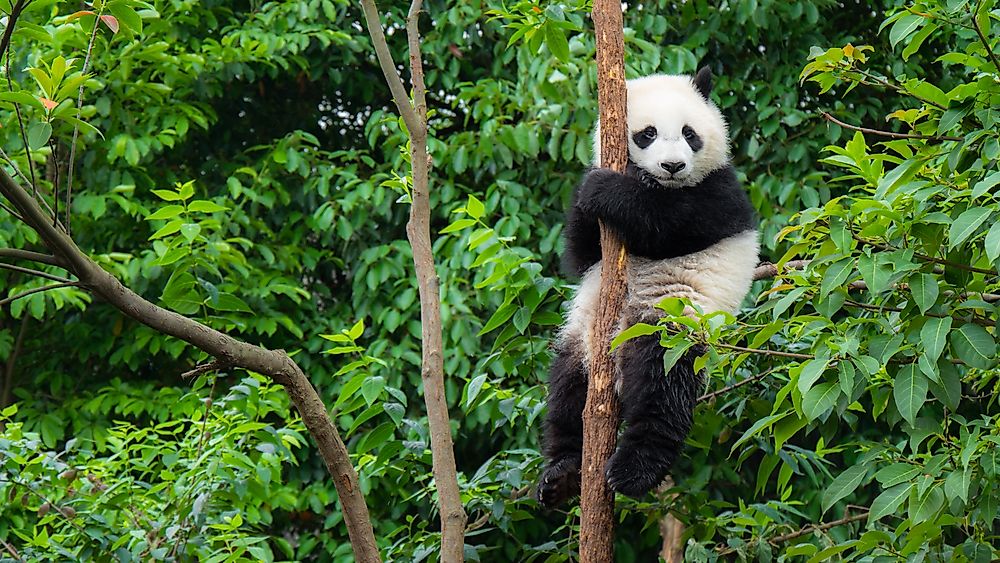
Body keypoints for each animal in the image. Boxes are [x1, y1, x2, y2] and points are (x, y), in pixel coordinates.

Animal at [540, 68, 756, 508]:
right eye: (647, 133)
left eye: (690, 133)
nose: (672, 165)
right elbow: (580, 255)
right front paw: (591, 188)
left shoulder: (720, 193)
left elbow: (668, 225)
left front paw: (605, 190)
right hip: (583, 338)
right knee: (568, 391)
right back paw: (562, 473)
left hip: (672, 322)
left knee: (663, 387)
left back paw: (634, 471)